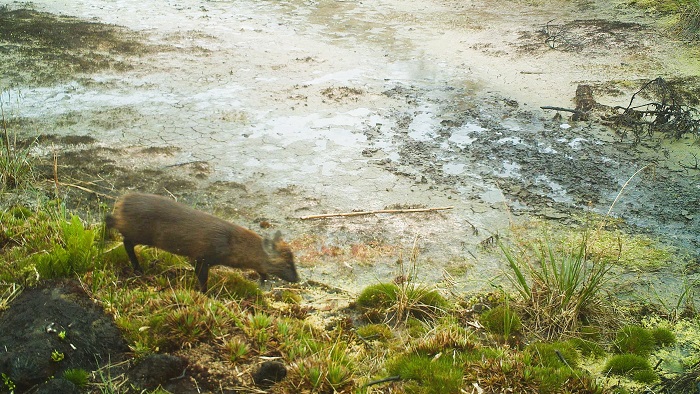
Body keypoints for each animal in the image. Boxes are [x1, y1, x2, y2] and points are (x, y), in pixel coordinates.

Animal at [104, 192, 298, 290]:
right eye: (287, 264)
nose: (297, 278)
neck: (230, 244)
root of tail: (122, 201)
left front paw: (263, 280)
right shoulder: (202, 258)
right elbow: (202, 280)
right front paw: (205, 294)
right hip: (137, 232)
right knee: (119, 233)